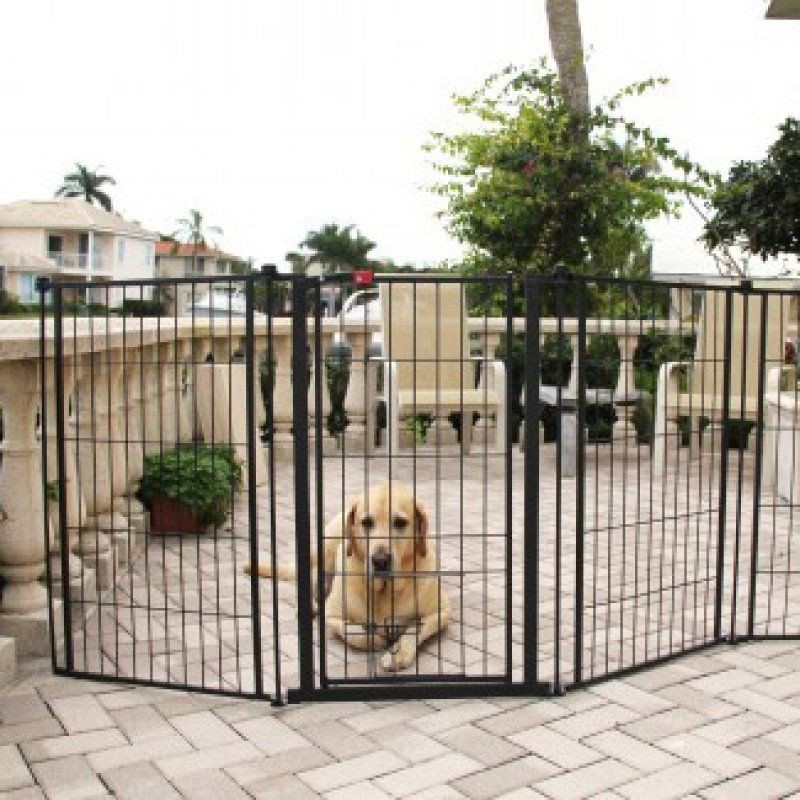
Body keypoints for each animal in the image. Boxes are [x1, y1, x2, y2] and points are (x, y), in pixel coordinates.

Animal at [245, 484, 450, 672]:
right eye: (366, 522)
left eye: (400, 522)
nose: (381, 561)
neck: (384, 590)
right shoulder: (332, 614)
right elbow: (355, 633)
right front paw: (376, 639)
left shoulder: (441, 612)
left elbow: (415, 628)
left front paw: (398, 653)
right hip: (325, 551)